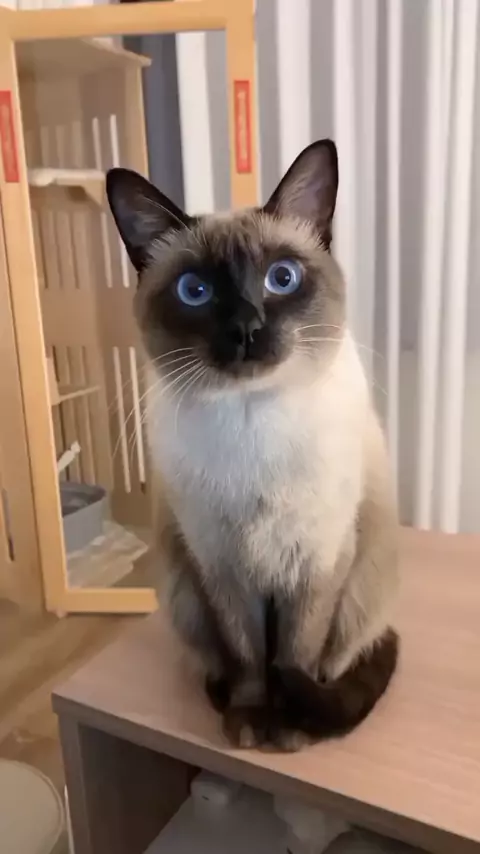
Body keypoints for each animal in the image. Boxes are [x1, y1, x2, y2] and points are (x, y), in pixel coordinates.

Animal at [106, 139, 399, 751]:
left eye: (281, 278)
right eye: (195, 291)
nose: (247, 327)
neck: (253, 420)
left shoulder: (316, 563)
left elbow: (294, 655)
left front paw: (285, 731)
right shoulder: (223, 569)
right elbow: (246, 654)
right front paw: (249, 721)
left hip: (362, 590)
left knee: (337, 660)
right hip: (184, 595)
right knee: (218, 658)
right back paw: (222, 697)